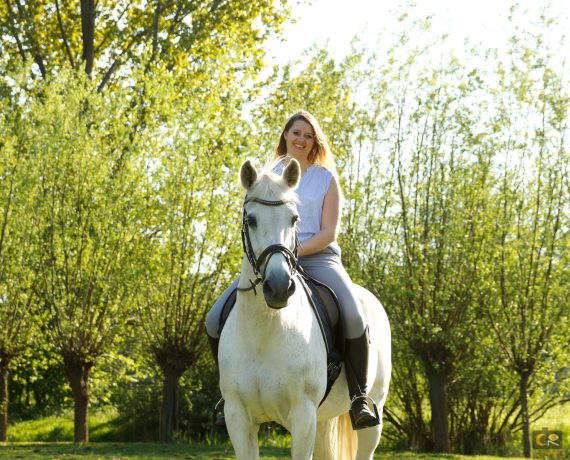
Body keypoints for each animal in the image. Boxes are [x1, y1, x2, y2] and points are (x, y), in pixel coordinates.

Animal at [219, 160, 390, 458]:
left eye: (293, 219)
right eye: (251, 220)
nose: (278, 287)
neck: (263, 330)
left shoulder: (303, 416)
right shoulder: (237, 417)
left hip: (372, 416)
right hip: (322, 421)